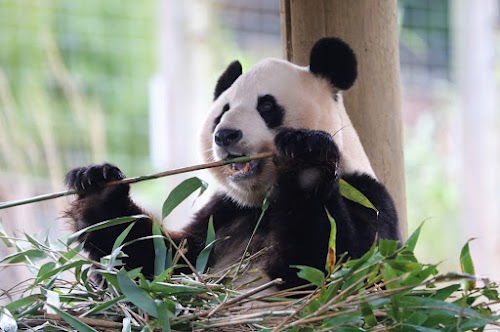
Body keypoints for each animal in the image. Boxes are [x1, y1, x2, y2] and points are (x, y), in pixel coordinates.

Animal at [64, 37, 400, 290]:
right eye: (222, 111)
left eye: (267, 106)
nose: (225, 135)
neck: (264, 202)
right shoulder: (224, 214)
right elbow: (160, 259)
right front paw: (97, 186)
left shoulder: (364, 194)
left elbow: (337, 265)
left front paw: (306, 161)